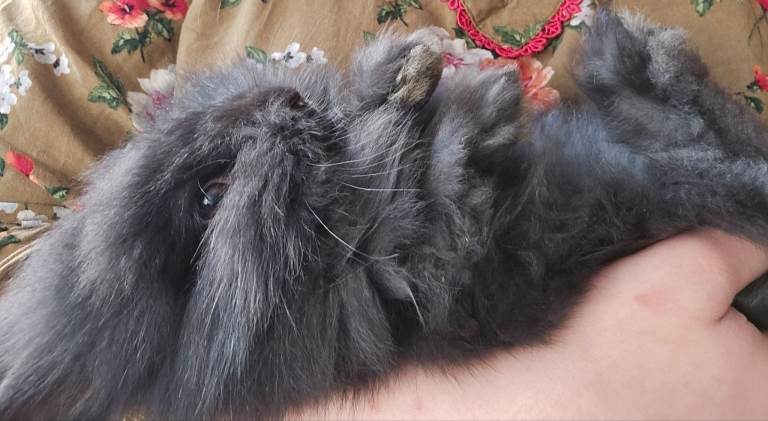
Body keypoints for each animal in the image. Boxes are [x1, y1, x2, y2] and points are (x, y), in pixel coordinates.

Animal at [1, 9, 767, 420]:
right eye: (210, 197)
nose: (283, 101)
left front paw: (415, 73)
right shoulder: (418, 269)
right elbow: (438, 180)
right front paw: (466, 107)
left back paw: (627, 49)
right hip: (673, 179)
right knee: (714, 146)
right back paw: (640, 60)